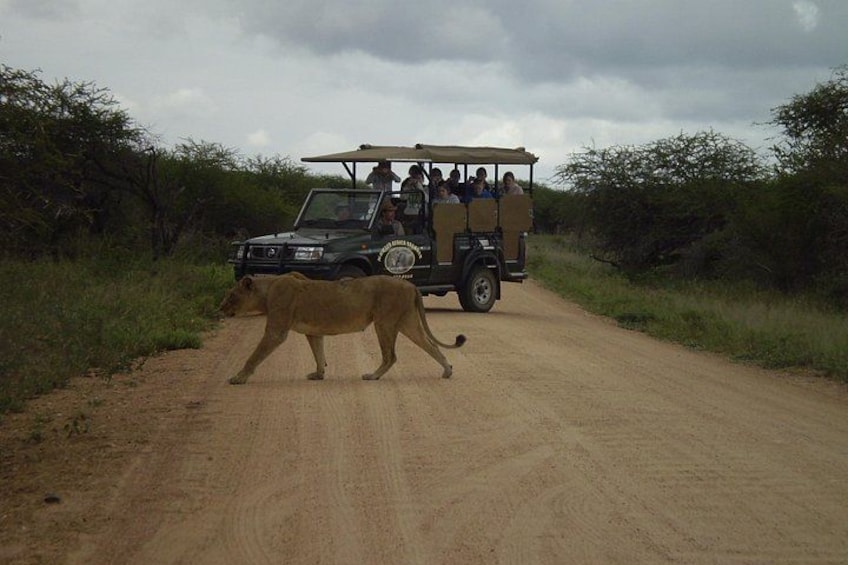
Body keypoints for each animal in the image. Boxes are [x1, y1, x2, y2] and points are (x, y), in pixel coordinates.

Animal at [220, 272, 466, 383]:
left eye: (231, 295)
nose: (220, 308)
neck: (268, 289)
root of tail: (411, 284)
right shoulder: (314, 331)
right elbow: (319, 353)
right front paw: (318, 374)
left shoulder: (276, 331)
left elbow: (254, 356)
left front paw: (238, 378)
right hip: (408, 323)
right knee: (431, 345)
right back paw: (447, 370)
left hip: (384, 322)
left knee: (391, 355)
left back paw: (373, 375)